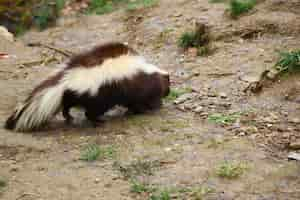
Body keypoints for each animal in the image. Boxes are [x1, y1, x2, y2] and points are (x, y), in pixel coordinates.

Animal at [4, 42, 170, 131]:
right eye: (167, 85)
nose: (168, 93)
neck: (148, 72)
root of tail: (67, 76)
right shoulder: (135, 86)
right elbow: (139, 100)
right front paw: (145, 108)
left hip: (75, 93)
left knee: (67, 105)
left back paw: (69, 118)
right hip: (97, 94)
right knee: (89, 112)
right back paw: (98, 122)